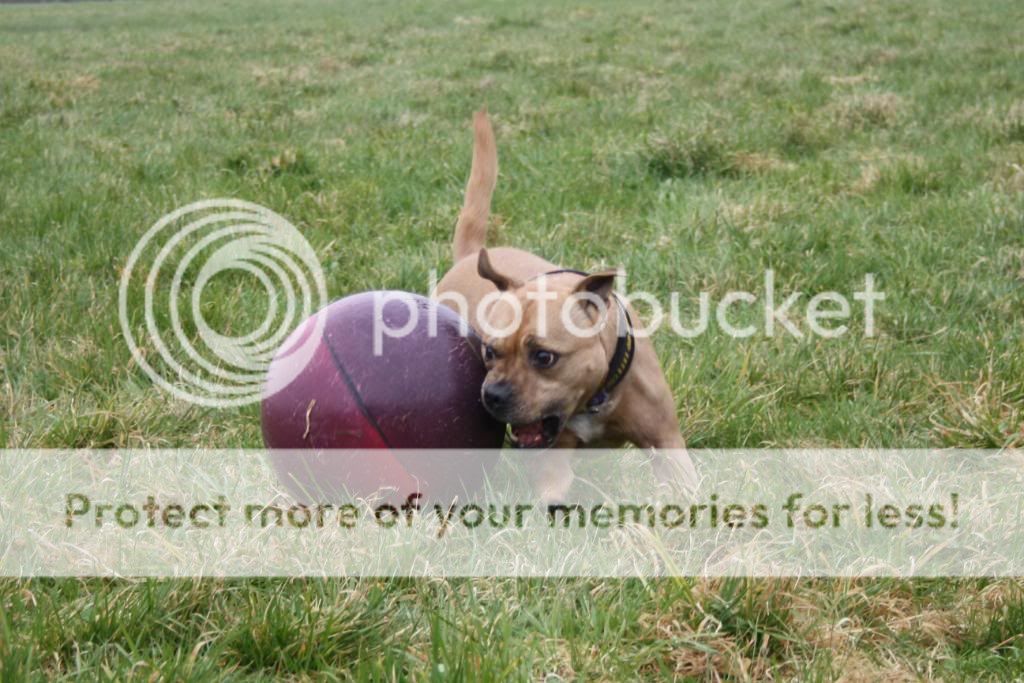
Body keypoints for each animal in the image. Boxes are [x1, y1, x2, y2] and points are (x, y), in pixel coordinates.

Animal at [432, 111, 696, 501]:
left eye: (544, 357)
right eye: (489, 352)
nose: (492, 395)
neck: (594, 397)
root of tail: (469, 256)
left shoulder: (667, 445)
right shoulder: (551, 464)